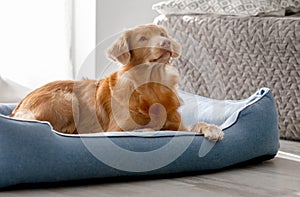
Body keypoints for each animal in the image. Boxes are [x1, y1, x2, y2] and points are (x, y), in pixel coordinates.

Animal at [9, 24, 223, 142]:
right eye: (142, 38)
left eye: (162, 34)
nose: (166, 43)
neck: (151, 84)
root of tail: (18, 106)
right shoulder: (117, 129)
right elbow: (144, 129)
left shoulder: (180, 128)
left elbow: (197, 124)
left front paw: (212, 128)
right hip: (68, 99)